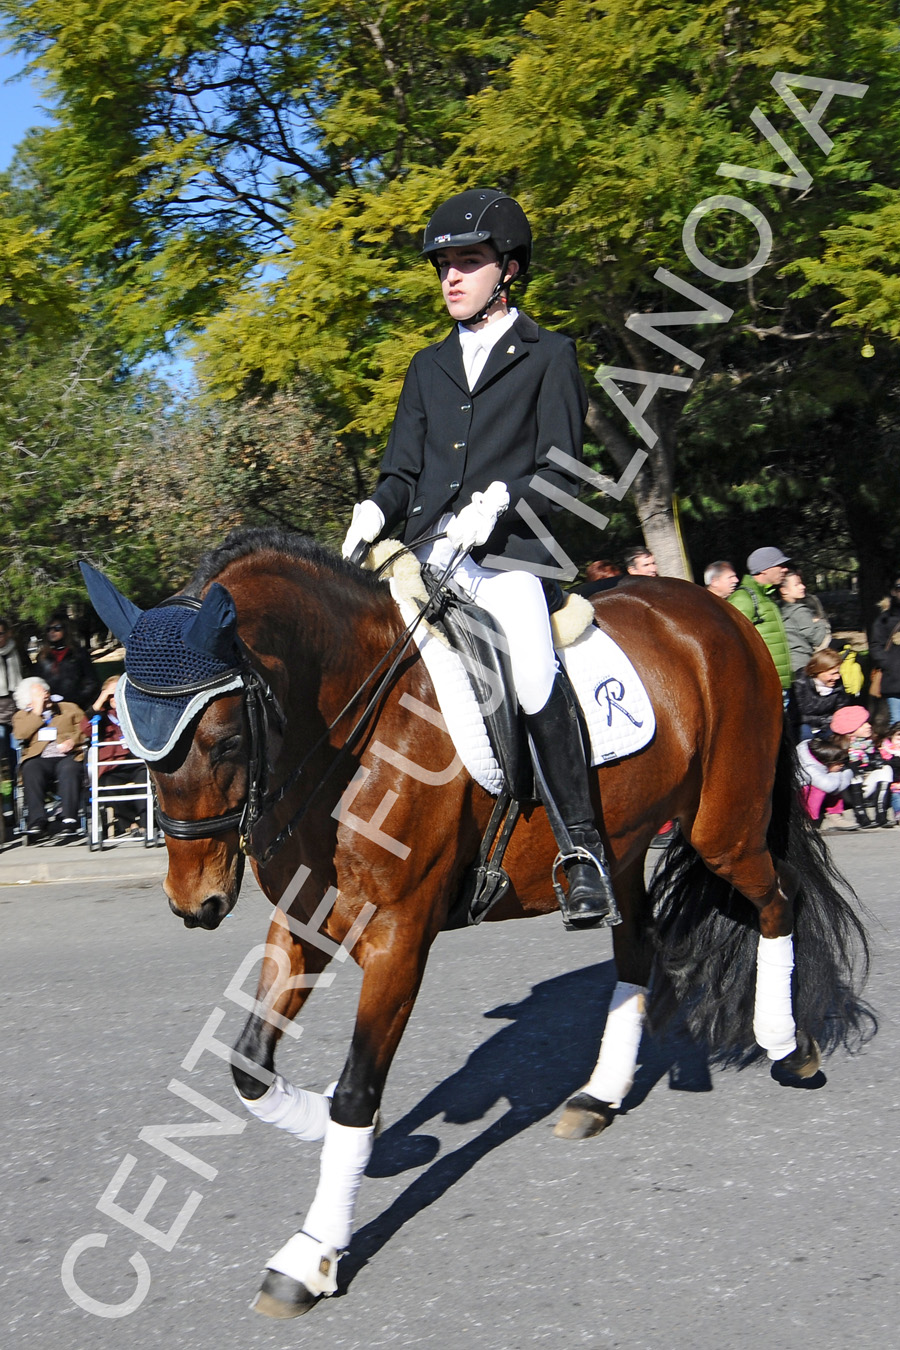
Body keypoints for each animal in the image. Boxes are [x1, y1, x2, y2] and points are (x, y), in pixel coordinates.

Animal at [80, 531, 868, 1323]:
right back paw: (600, 1095)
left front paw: (311, 1254)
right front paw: (333, 1130)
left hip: (723, 828)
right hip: (625, 844)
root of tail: (721, 614)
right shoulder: (305, 922)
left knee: (777, 905)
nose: (196, 903)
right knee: (636, 952)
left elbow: (356, 1092)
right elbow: (248, 1065)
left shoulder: (398, 938)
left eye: (223, 742)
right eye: (136, 745)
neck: (352, 730)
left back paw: (787, 1047)